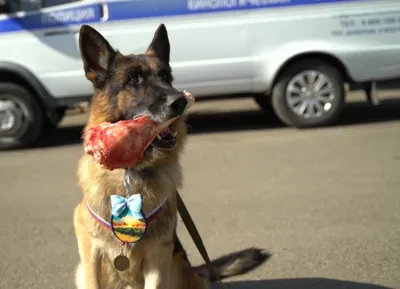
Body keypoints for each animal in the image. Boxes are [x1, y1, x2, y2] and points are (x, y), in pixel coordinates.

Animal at [75, 23, 268, 288]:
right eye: (133, 79)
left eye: (166, 77)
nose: (180, 102)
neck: (130, 172)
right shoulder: (91, 254)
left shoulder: (158, 257)